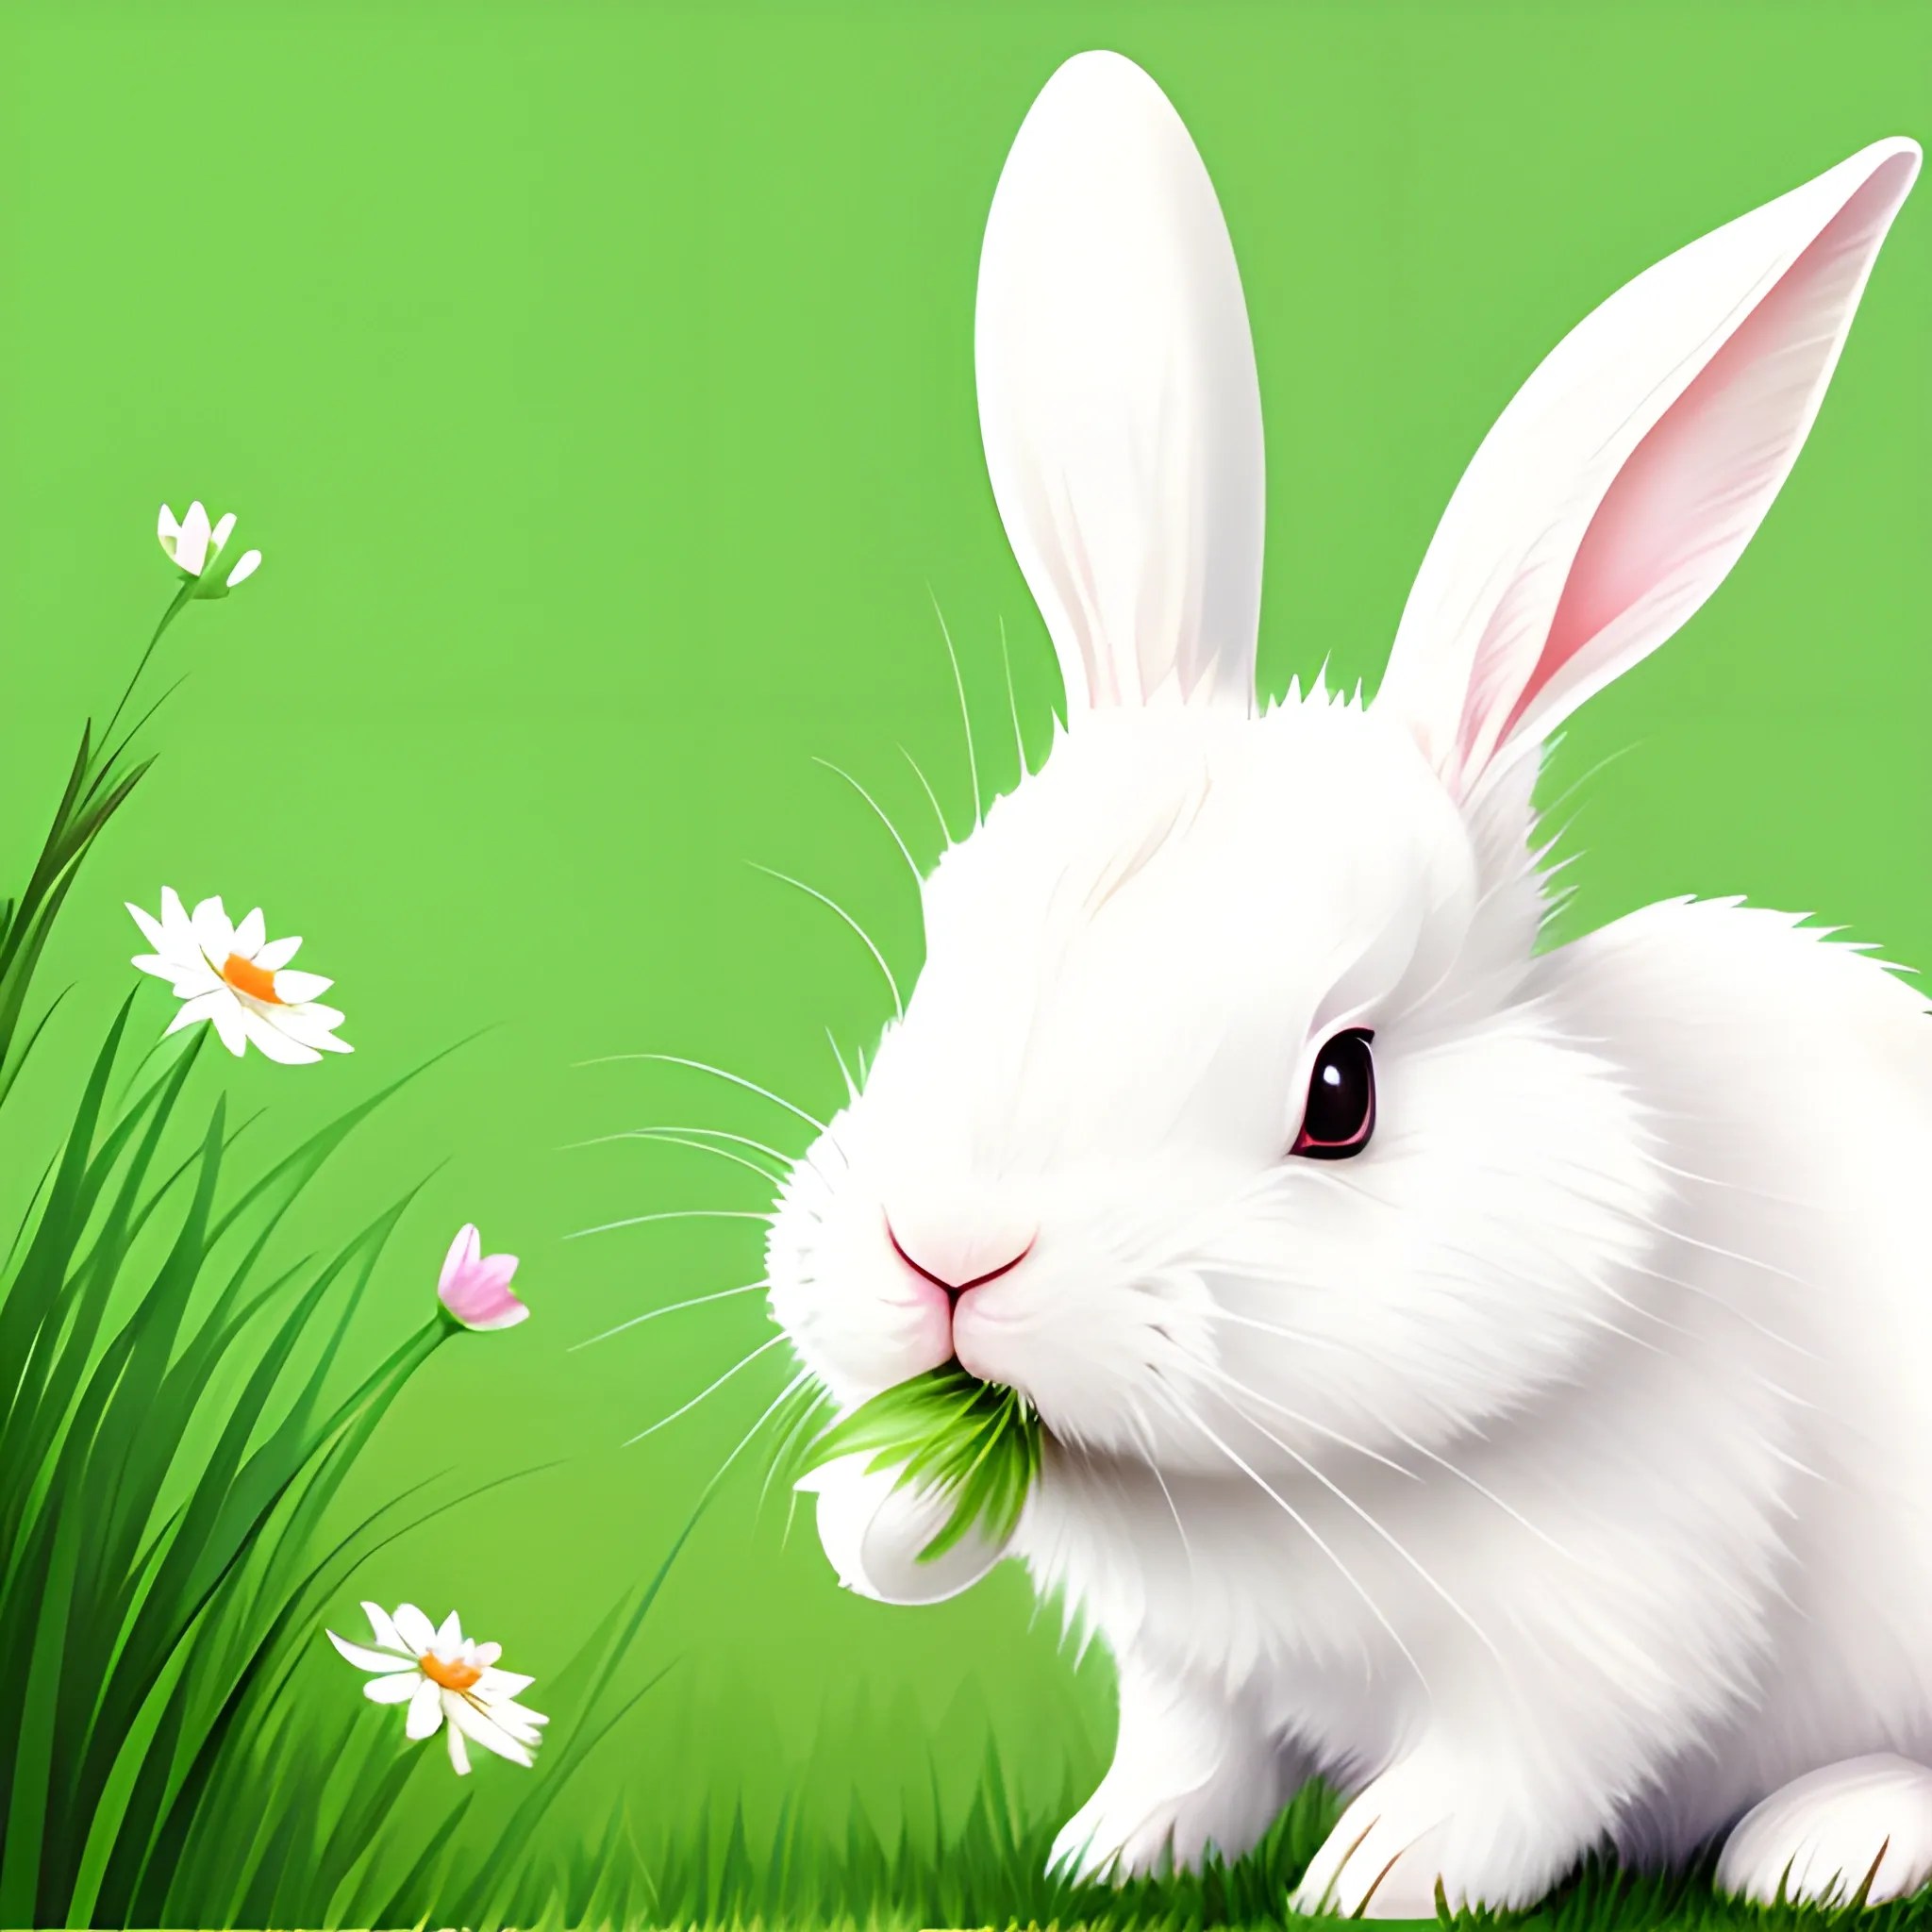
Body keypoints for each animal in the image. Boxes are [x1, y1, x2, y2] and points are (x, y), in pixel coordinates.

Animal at [763, 47, 1931, 1918]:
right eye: (945, 939)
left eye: (1340, 1091)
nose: (946, 1254)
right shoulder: (1183, 1668)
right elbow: (1192, 1751)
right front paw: (1117, 1852)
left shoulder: (1609, 1625)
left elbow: (1505, 1776)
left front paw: (1373, 1880)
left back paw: (1832, 1838)